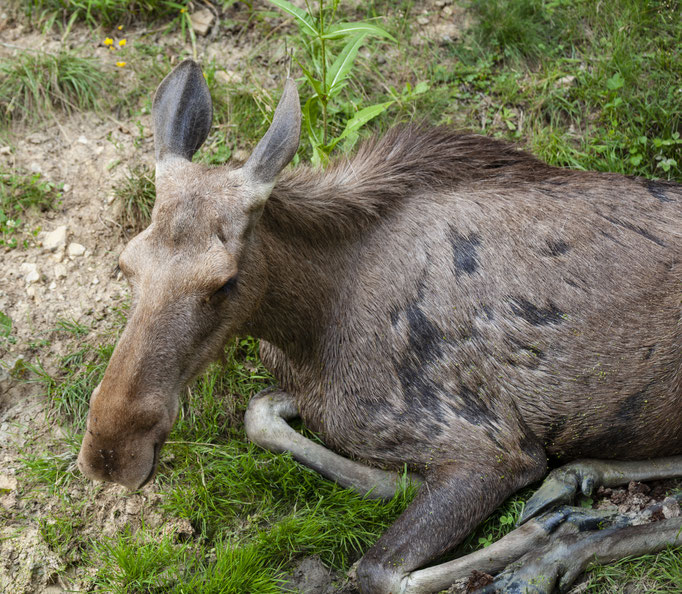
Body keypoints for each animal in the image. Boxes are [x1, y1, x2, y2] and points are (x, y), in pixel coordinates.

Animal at [75, 61, 680, 592]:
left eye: (224, 282)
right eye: (126, 263)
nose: (111, 450)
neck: (308, 325)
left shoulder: (495, 450)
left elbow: (376, 570)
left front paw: (540, 533)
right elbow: (260, 414)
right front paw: (403, 481)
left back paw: (552, 551)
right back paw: (572, 483)